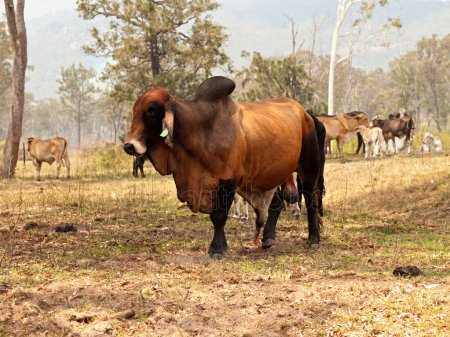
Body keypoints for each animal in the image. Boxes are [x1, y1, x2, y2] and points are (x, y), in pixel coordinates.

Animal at [123, 76, 326, 258]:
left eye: (151, 110)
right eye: (135, 110)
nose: (129, 146)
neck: (199, 130)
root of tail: (307, 114)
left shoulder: (227, 180)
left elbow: (219, 216)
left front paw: (217, 248)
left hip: (308, 168)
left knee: (311, 199)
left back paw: (313, 239)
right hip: (266, 176)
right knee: (276, 203)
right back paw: (268, 238)